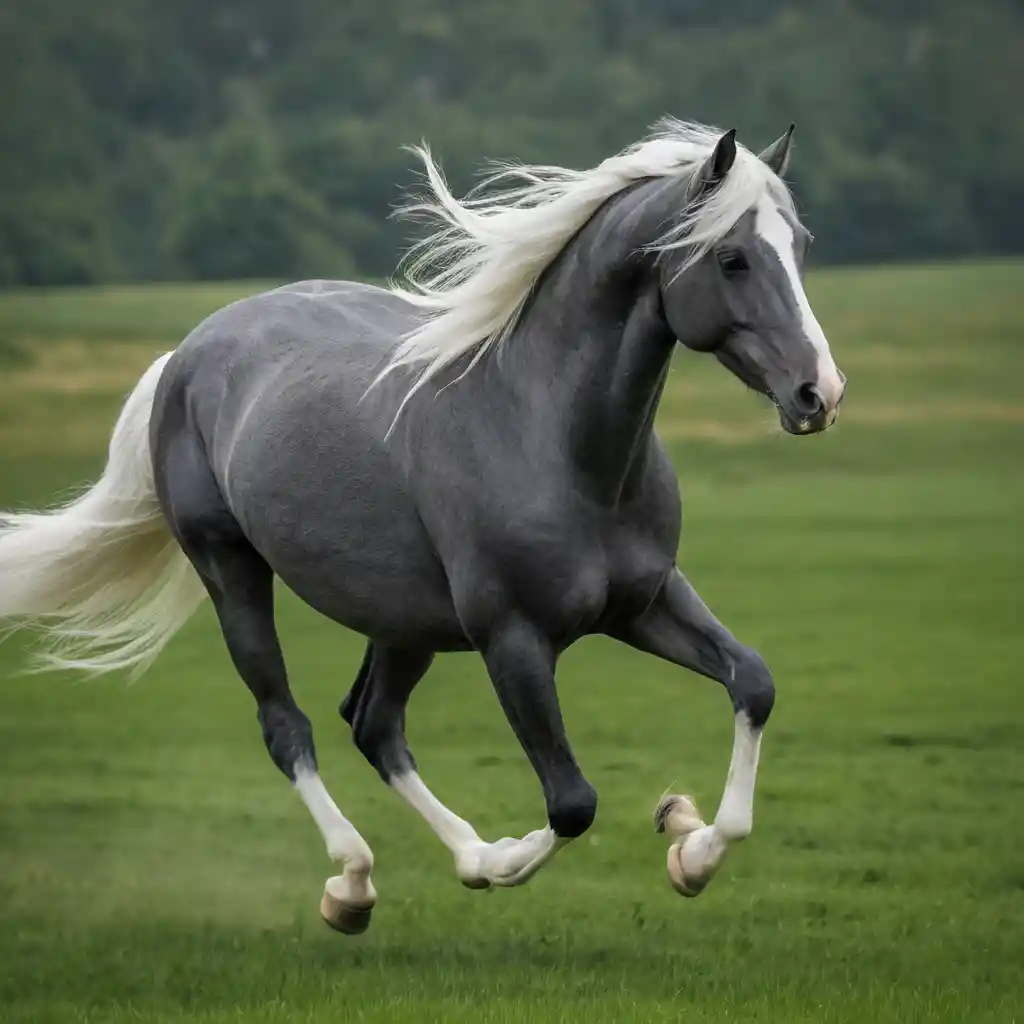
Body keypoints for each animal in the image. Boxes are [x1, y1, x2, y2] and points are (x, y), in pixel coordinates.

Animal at [0, 120, 845, 933]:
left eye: (801, 245)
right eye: (732, 258)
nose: (820, 394)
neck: (547, 435)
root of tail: (185, 353)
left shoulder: (645, 602)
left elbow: (754, 683)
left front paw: (687, 844)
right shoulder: (513, 638)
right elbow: (572, 802)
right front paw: (517, 859)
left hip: (404, 620)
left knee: (373, 724)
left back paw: (434, 861)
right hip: (232, 571)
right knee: (290, 727)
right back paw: (353, 885)